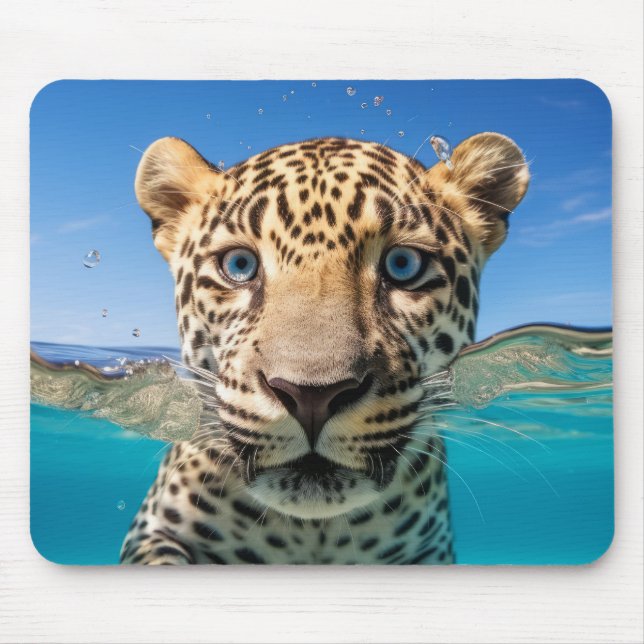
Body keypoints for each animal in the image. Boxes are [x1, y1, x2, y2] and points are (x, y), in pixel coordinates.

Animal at [120, 132, 529, 564]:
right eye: (239, 265)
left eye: (403, 264)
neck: (314, 531)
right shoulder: (153, 532)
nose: (311, 396)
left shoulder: (430, 551)